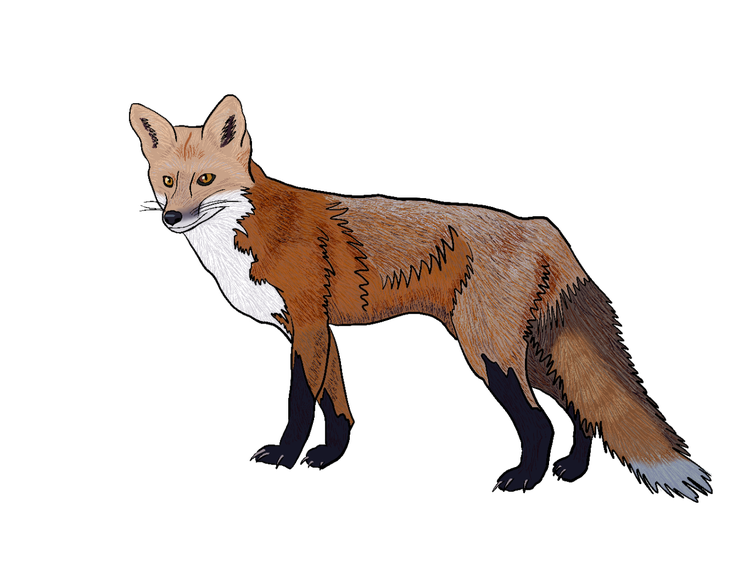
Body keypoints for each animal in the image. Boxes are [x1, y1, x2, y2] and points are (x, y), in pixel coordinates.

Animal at [131, 96, 712, 500]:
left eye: (206, 179)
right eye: (168, 180)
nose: (171, 218)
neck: (248, 229)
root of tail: (542, 226)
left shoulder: (309, 327)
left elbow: (300, 403)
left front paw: (285, 457)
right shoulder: (319, 332)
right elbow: (336, 407)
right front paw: (328, 457)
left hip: (489, 354)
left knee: (540, 420)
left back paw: (525, 480)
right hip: (521, 354)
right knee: (581, 408)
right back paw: (573, 469)